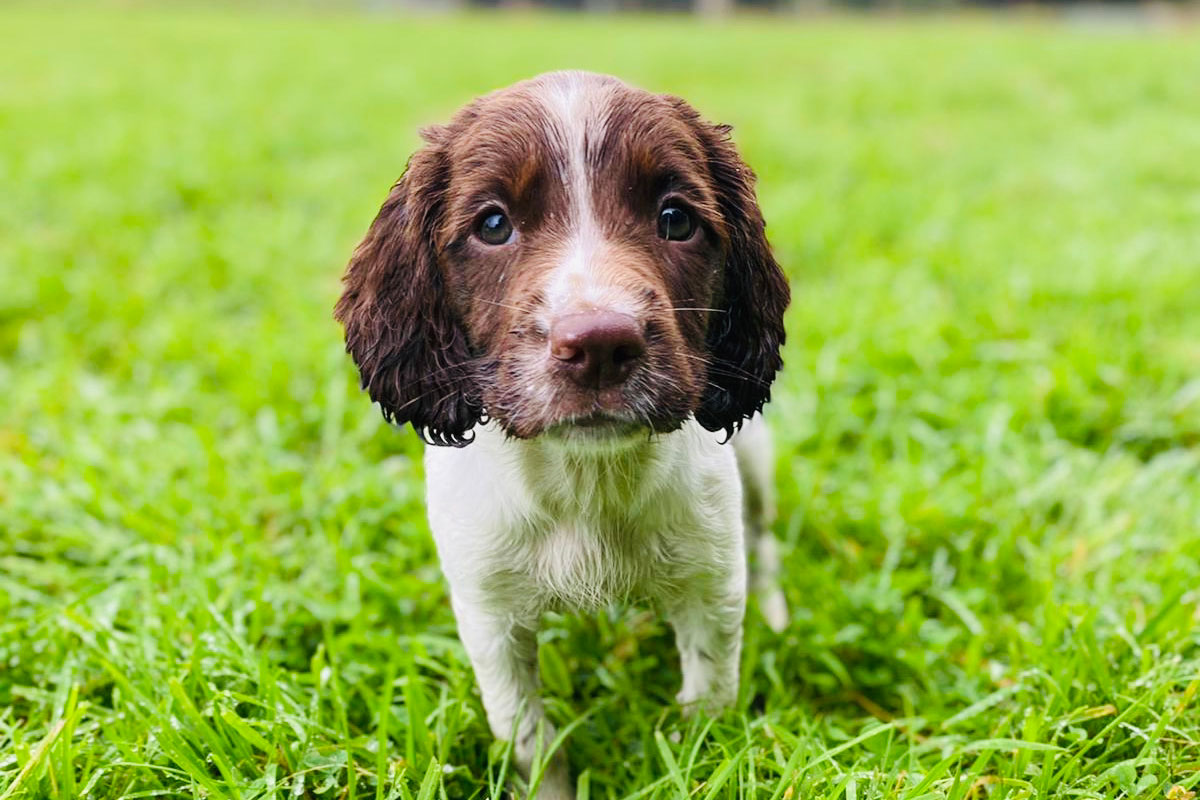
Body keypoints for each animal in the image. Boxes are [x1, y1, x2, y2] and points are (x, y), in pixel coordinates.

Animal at [336, 71, 787, 796]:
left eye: (676, 220)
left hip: (757, 457)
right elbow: (527, 736)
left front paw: (697, 765)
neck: (583, 479)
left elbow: (707, 705)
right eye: (494, 224)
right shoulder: (488, 613)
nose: (600, 344)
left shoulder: (710, 584)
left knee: (766, 535)